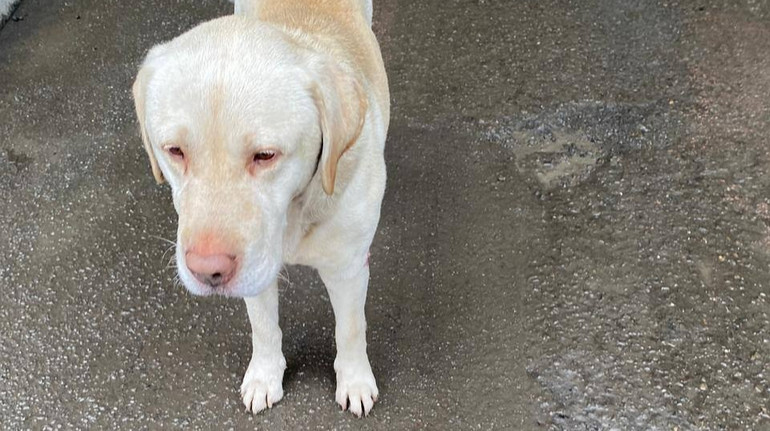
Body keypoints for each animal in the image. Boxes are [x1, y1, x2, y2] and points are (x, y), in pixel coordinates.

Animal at [130, 0, 390, 418]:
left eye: (265, 155)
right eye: (174, 151)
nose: (207, 271)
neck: (295, 216)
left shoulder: (348, 268)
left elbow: (350, 329)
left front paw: (355, 381)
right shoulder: (254, 270)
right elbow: (263, 326)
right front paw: (265, 376)